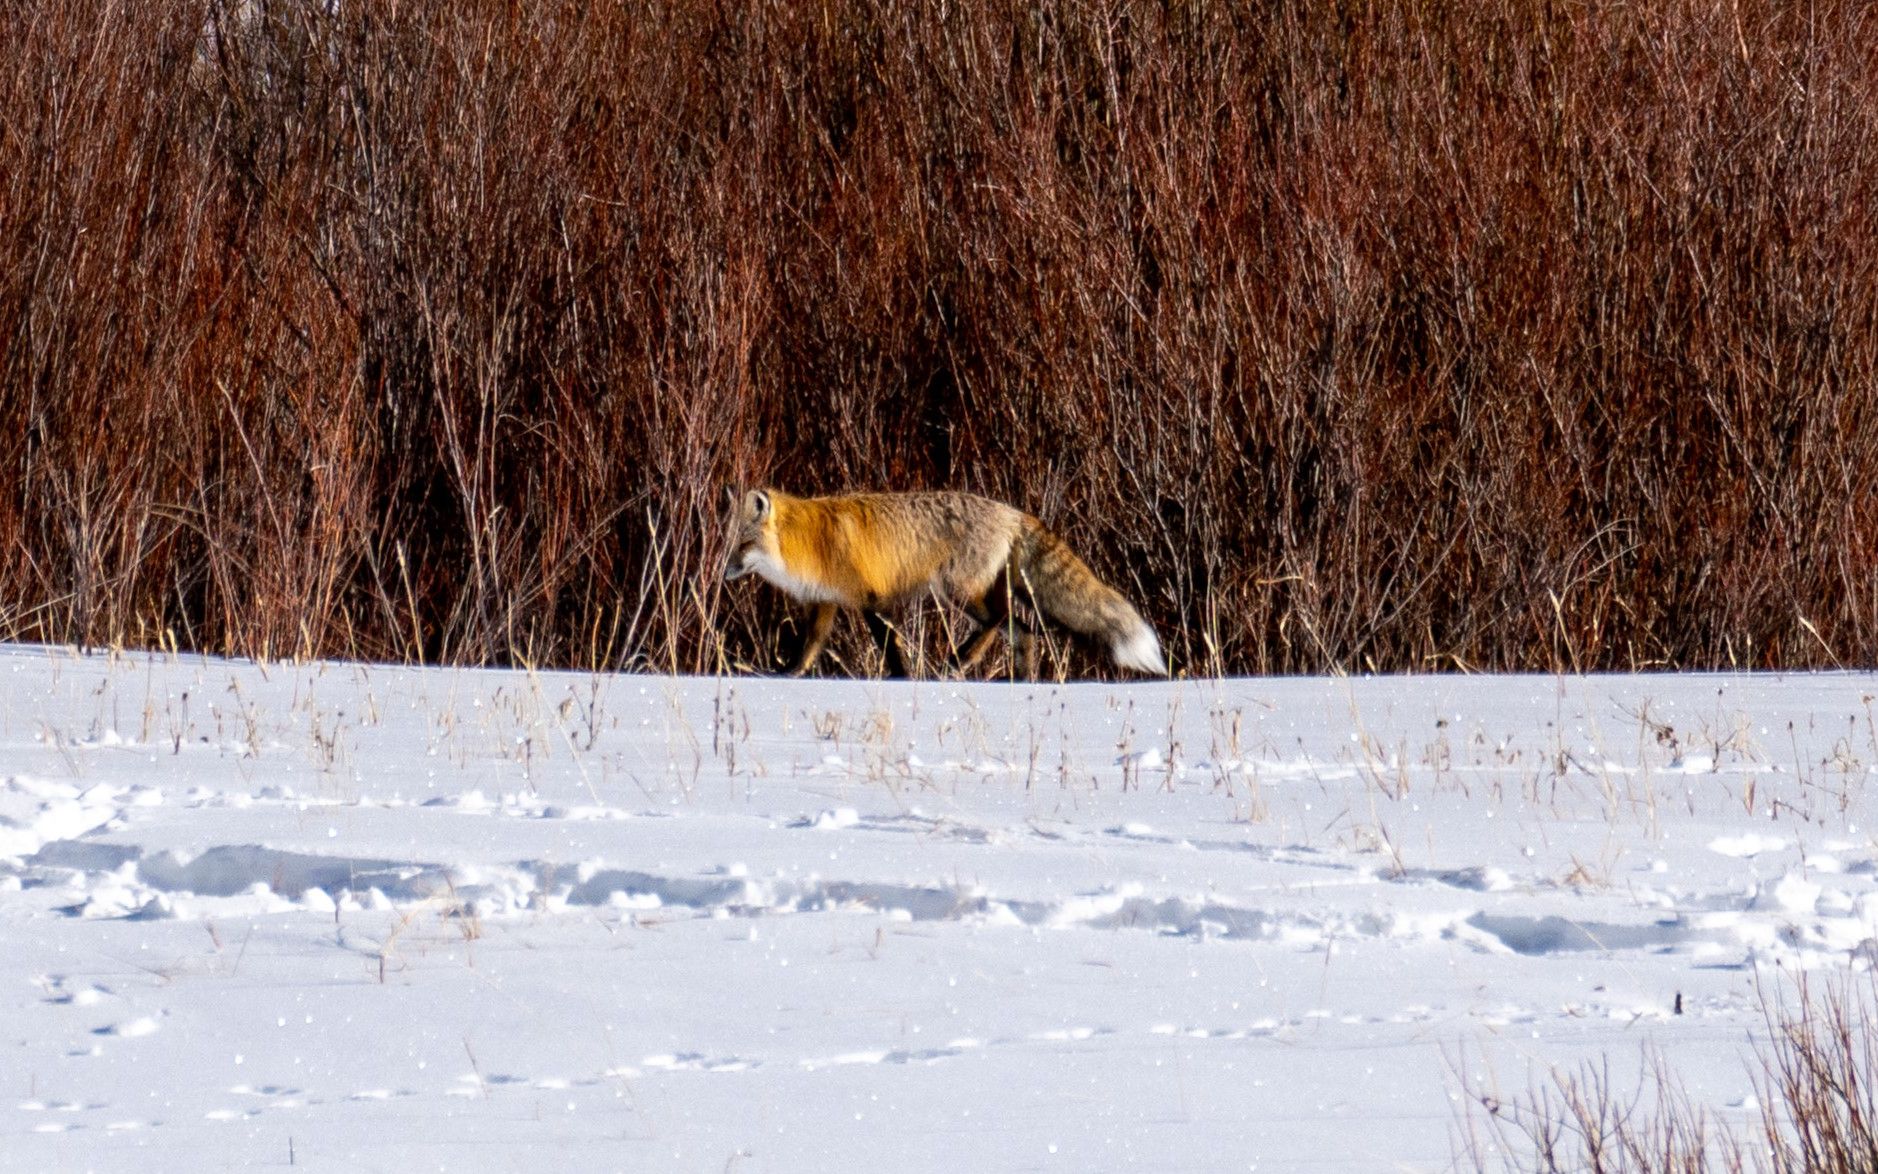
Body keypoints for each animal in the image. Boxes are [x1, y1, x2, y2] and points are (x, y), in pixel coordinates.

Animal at [724, 484, 1164, 676]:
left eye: (744, 544)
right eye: (729, 544)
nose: (723, 573)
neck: (807, 540)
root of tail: (1011, 511)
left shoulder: (871, 599)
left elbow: (890, 648)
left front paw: (901, 677)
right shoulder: (825, 602)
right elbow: (808, 648)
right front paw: (788, 676)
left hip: (957, 591)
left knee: (999, 623)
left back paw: (958, 660)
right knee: (1024, 632)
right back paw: (1020, 678)